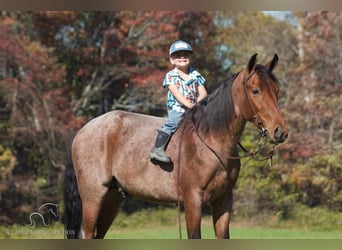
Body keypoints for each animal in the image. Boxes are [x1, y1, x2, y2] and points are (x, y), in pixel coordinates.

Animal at [63, 53, 288, 239]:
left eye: (277, 91)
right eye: (256, 91)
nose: (281, 132)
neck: (211, 142)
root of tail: (83, 131)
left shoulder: (223, 201)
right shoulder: (193, 200)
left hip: (112, 198)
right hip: (93, 197)